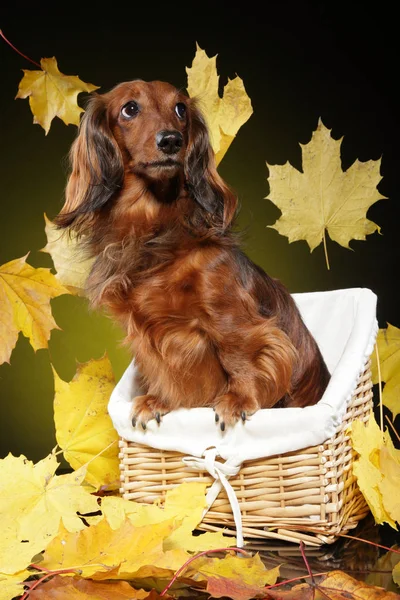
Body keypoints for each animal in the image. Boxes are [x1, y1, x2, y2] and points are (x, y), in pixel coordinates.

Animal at [55, 79, 332, 432]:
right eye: (129, 108)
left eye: (180, 109)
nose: (171, 140)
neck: (154, 231)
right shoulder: (144, 331)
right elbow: (160, 367)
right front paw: (159, 400)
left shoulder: (229, 315)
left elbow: (239, 353)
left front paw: (238, 399)